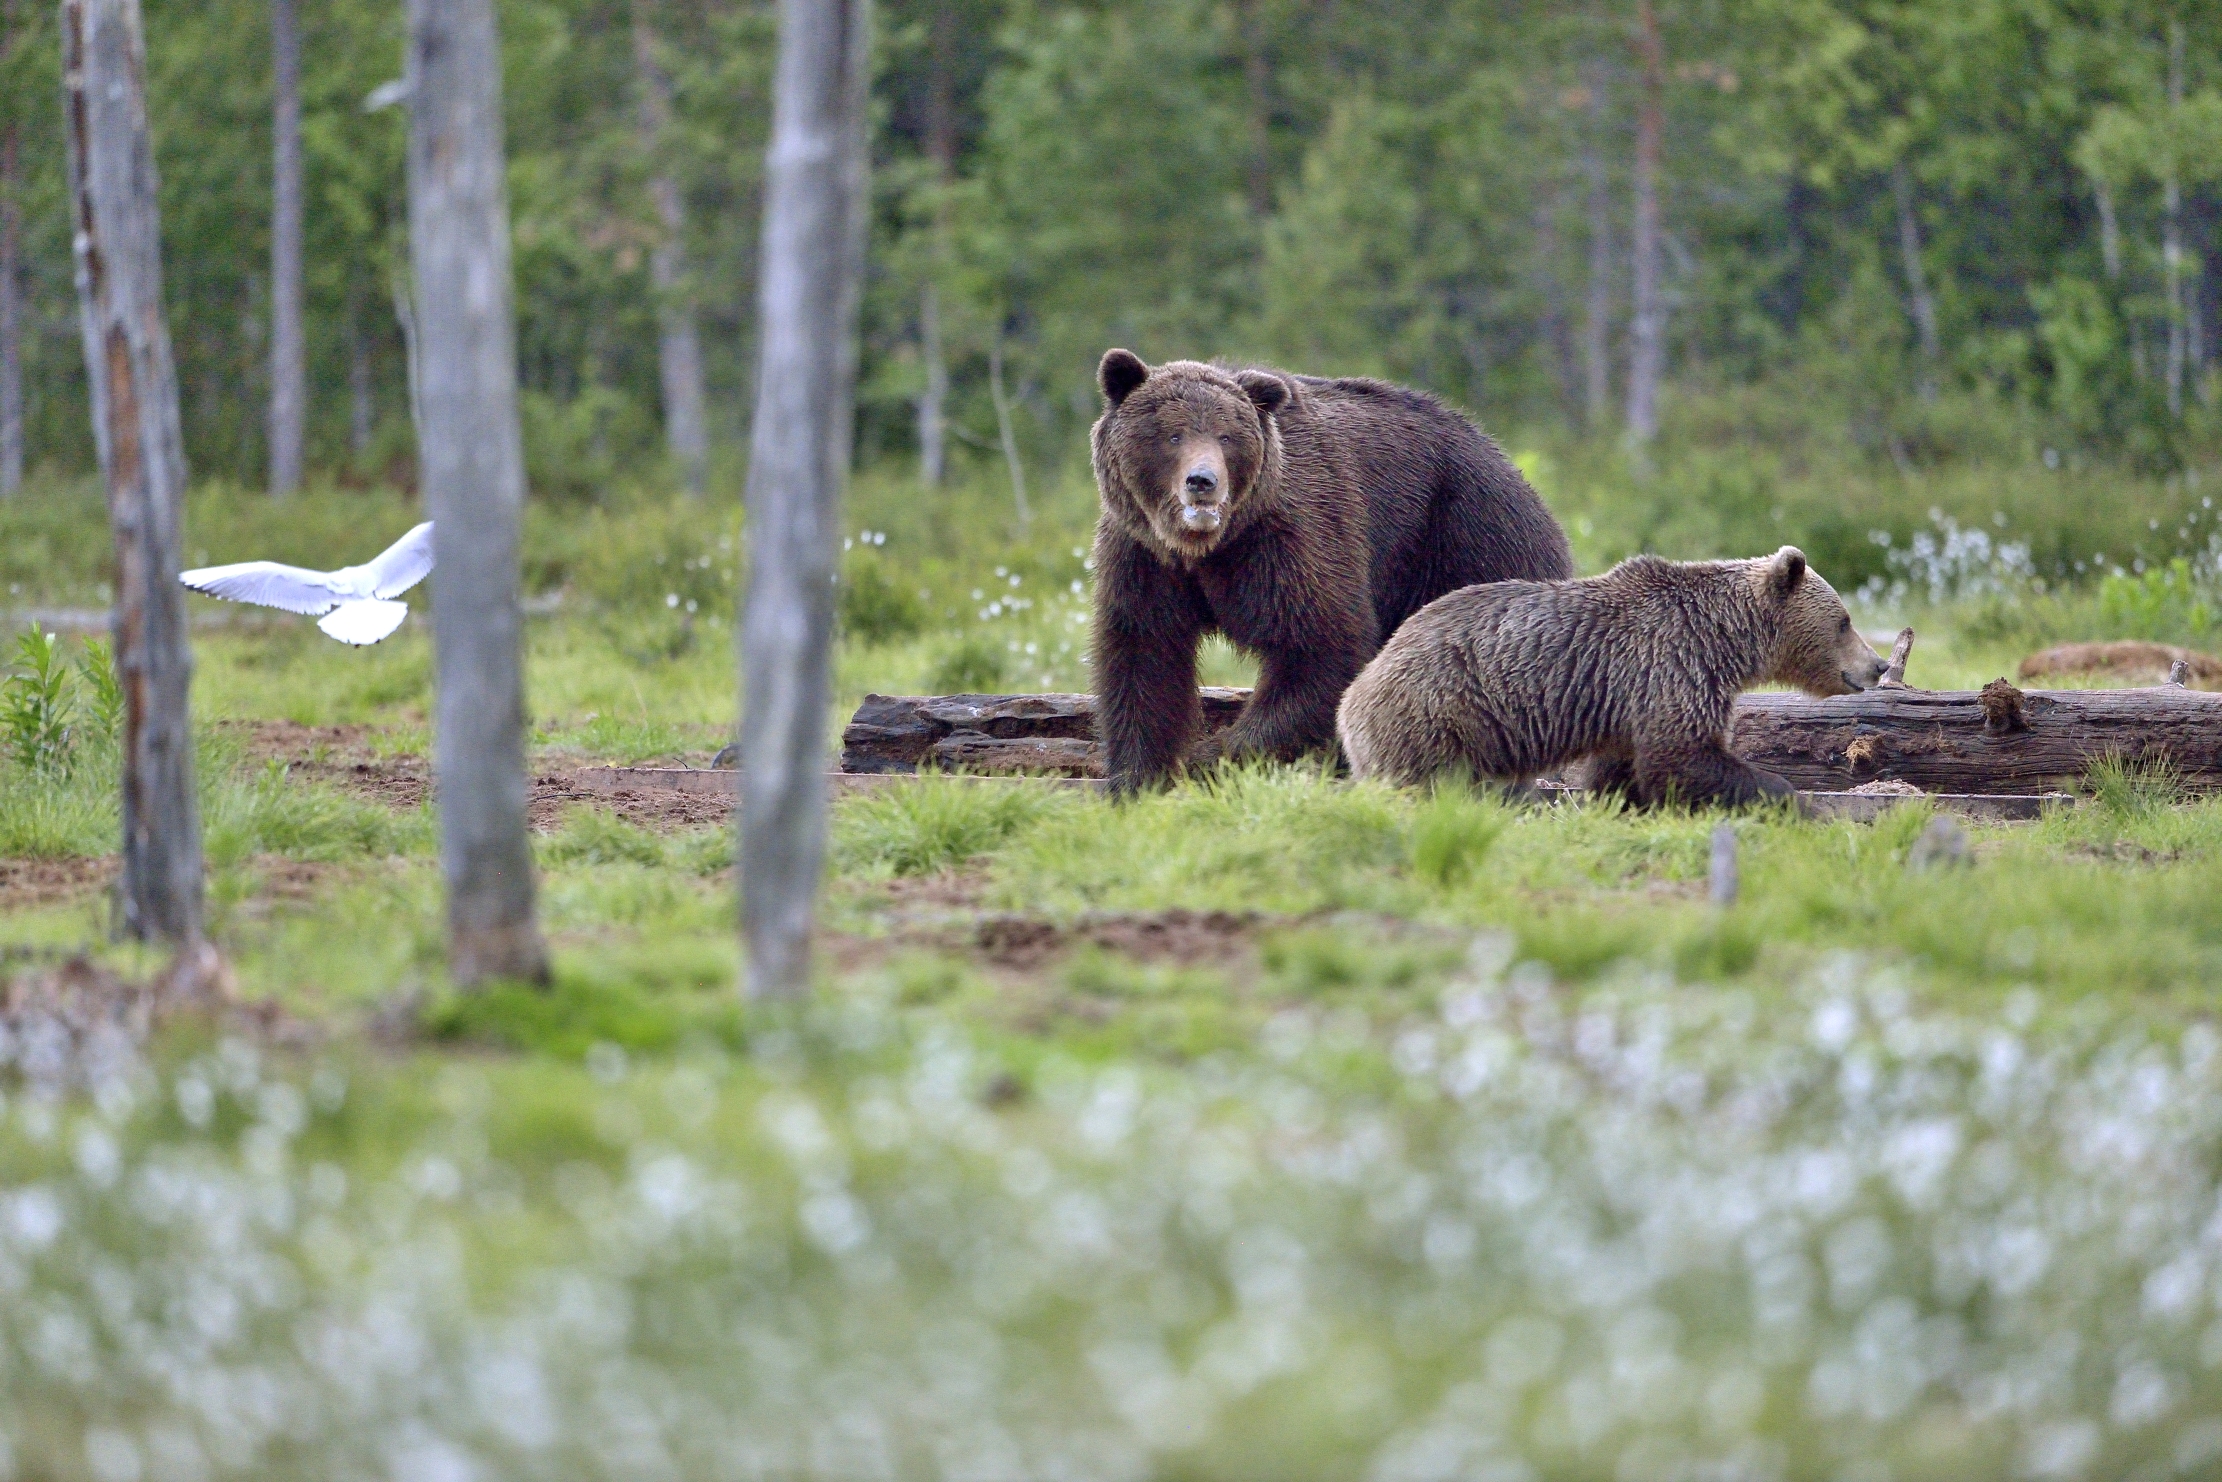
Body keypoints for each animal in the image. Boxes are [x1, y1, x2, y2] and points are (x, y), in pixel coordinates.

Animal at [1089, 349, 1573, 793]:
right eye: (1172, 434)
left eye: (1227, 437)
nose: (1203, 482)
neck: (1209, 546)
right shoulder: (1143, 556)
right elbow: (1145, 655)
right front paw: (1138, 777)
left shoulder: (1292, 538)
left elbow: (1321, 647)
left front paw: (1210, 757)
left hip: (1467, 538)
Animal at [1335, 546, 1886, 807]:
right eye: (1844, 620)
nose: (1878, 665)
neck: (1721, 640)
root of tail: (1351, 697)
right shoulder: (1670, 668)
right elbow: (1682, 757)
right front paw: (1786, 796)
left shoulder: (1625, 701)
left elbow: (1623, 769)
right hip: (1439, 717)